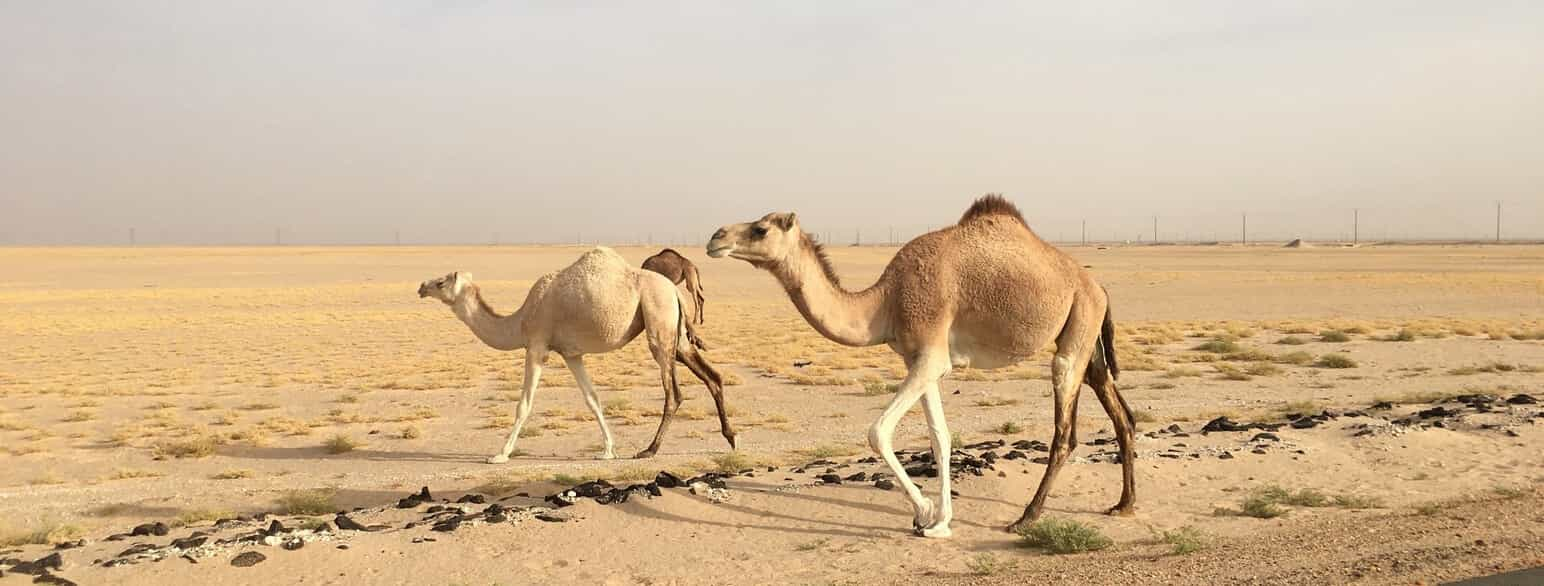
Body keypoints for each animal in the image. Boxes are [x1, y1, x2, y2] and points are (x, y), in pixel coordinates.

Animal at [416, 246, 734, 462]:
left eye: (442, 282)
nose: (421, 286)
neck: (521, 320)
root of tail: (674, 291)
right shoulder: (571, 354)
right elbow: (592, 399)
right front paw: (608, 450)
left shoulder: (537, 345)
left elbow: (524, 405)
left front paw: (500, 454)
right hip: (675, 332)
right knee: (712, 376)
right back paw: (731, 437)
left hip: (658, 320)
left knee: (674, 393)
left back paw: (650, 449)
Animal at [704, 194, 1136, 536]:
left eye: (760, 229)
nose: (715, 237)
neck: (885, 301)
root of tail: (1098, 286)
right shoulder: (918, 359)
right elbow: (940, 437)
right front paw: (940, 519)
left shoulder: (931, 355)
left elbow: (878, 432)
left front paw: (927, 513)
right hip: (1086, 333)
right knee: (1118, 408)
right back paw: (1124, 504)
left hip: (1077, 327)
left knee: (1065, 429)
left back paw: (1027, 518)